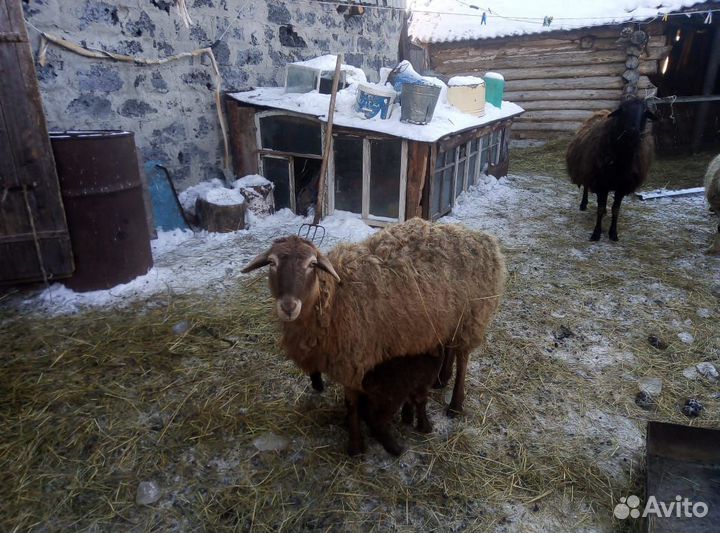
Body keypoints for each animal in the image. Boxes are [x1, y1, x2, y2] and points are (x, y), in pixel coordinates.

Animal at [241, 218, 506, 454]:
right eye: (272, 263)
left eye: (311, 264)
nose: (288, 306)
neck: (333, 299)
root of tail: (483, 238)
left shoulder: (354, 361)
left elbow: (352, 403)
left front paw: (355, 446)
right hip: (451, 317)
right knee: (449, 346)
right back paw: (441, 379)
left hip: (473, 316)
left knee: (463, 358)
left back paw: (455, 404)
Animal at [566, 97, 656, 241]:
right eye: (623, 109)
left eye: (645, 112)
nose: (633, 132)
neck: (620, 160)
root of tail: (602, 111)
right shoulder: (600, 183)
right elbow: (600, 208)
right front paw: (596, 234)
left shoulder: (622, 187)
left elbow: (615, 209)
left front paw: (613, 233)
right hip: (588, 170)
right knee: (586, 186)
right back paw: (583, 204)